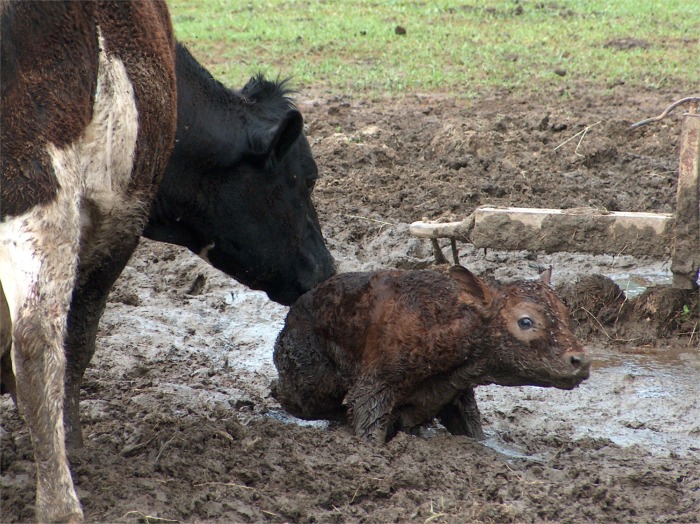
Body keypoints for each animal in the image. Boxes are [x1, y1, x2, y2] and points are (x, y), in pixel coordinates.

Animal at [270, 266, 588, 442]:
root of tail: (291, 318)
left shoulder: (456, 394)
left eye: (565, 314)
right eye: (525, 321)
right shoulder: (375, 387)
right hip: (312, 384)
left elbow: (474, 432)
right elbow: (369, 432)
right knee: (284, 392)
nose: (580, 360)